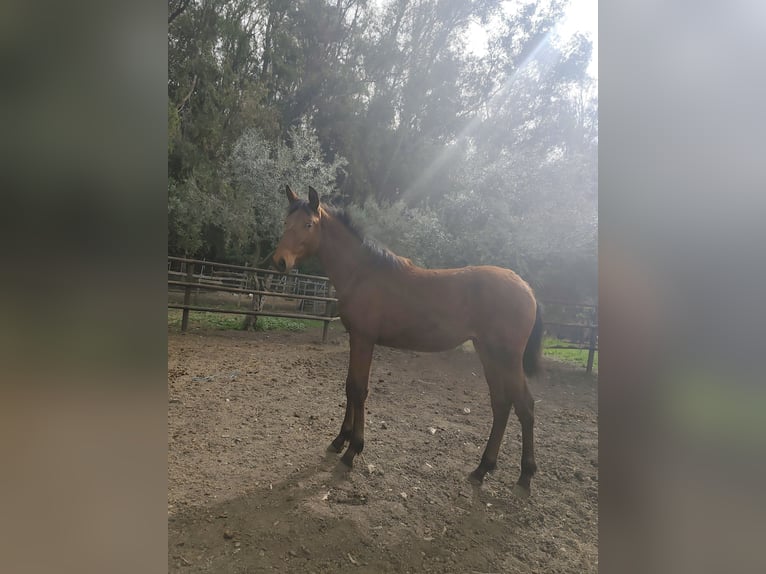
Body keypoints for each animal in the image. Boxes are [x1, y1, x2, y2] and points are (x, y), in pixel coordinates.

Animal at [273, 185, 544, 497]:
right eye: (286, 222)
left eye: (308, 224)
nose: (279, 261)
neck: (362, 273)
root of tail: (527, 288)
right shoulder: (356, 339)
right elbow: (349, 387)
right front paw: (340, 440)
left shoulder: (365, 339)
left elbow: (359, 390)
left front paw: (353, 450)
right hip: (488, 353)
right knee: (501, 404)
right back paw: (482, 469)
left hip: (507, 357)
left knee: (524, 406)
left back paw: (525, 476)